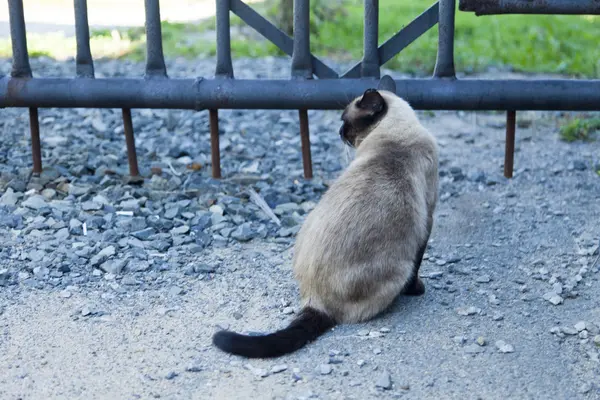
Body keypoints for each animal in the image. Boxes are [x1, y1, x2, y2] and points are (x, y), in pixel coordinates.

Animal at [213, 80, 438, 360]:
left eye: (344, 121)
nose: (339, 132)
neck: (396, 132)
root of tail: (315, 300)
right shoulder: (427, 219)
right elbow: (419, 262)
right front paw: (417, 289)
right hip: (400, 267)